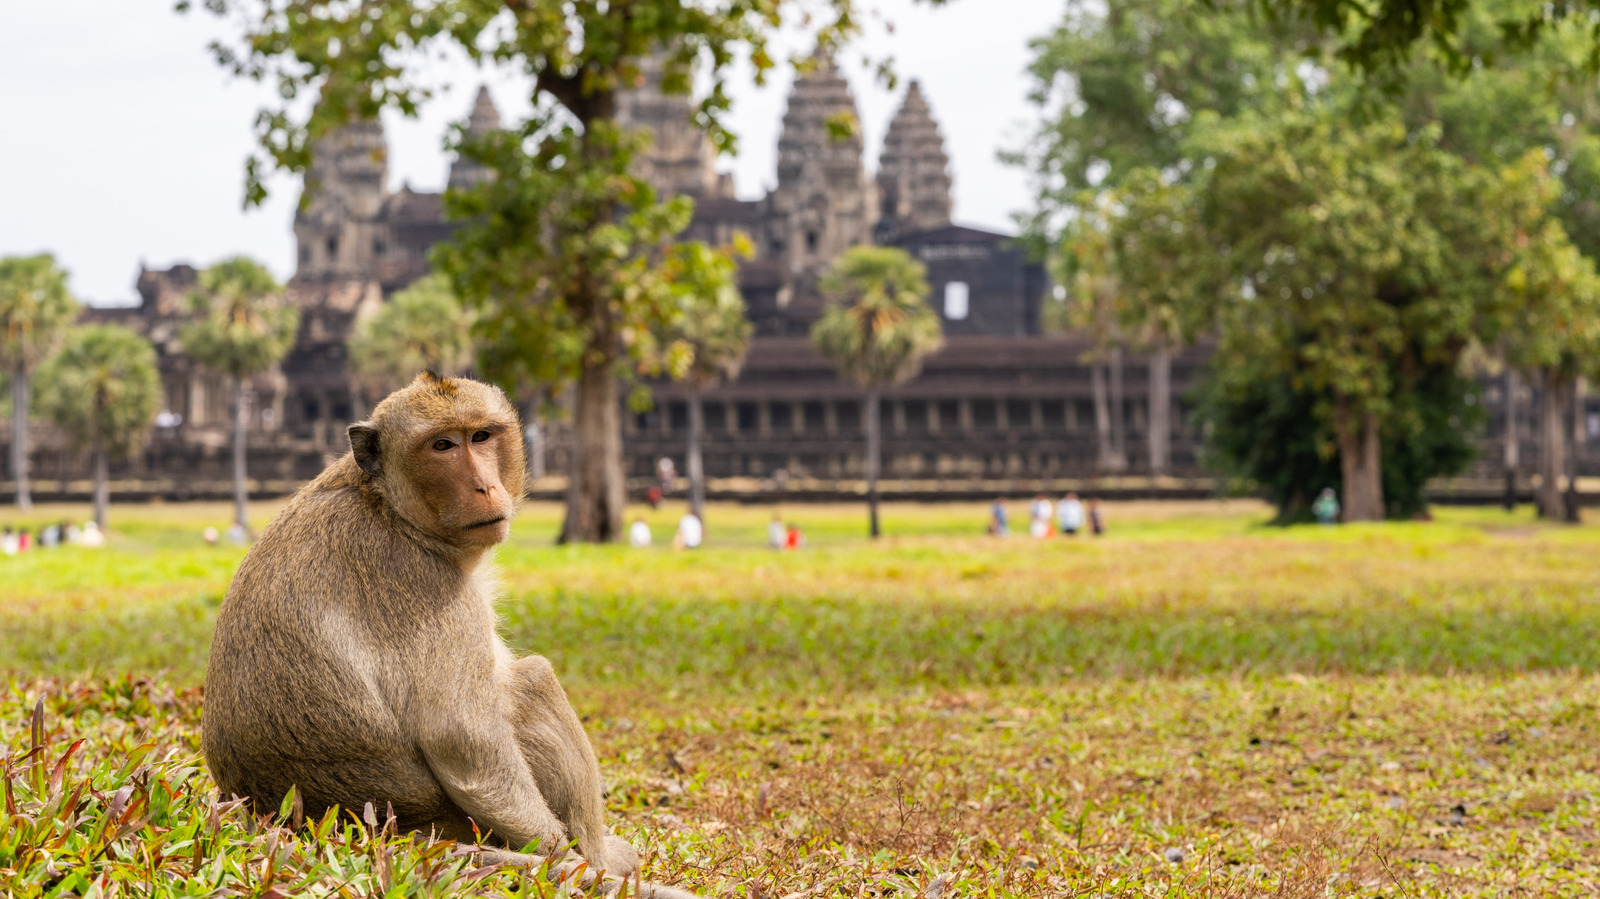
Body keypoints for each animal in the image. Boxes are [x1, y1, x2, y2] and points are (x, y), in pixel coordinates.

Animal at [201, 371, 700, 895]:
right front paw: (567, 859)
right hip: (454, 822)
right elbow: (461, 737)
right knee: (531, 681)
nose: (483, 486)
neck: (386, 503)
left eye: (480, 436)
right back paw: (600, 857)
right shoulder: (419, 580)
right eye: (442, 446)